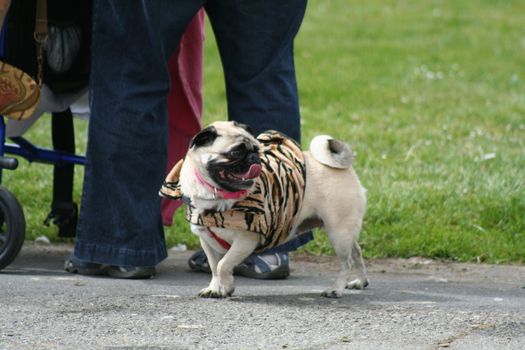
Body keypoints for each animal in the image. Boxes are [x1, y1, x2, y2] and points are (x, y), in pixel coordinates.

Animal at [158, 121, 366, 298]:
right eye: (235, 153)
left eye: (257, 149)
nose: (253, 157)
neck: (217, 196)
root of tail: (343, 168)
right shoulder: (207, 240)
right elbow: (215, 267)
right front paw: (217, 288)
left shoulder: (246, 239)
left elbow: (223, 265)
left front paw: (223, 286)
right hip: (343, 232)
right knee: (356, 252)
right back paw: (360, 282)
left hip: (338, 231)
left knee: (346, 262)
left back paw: (336, 289)